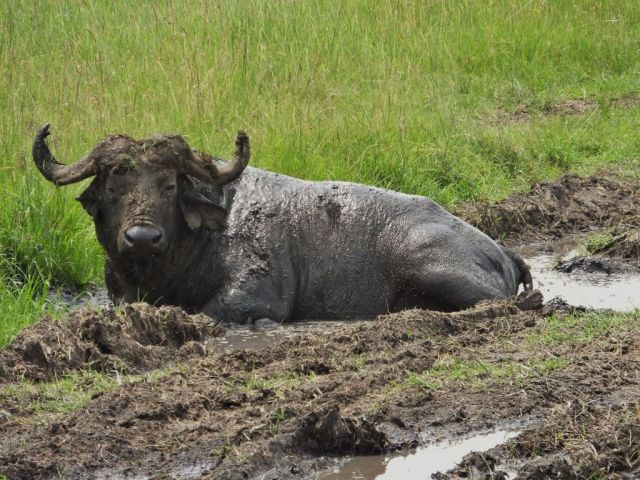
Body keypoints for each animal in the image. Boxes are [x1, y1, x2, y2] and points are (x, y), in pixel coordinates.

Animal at [32, 124, 532, 323]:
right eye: (114, 182)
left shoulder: (257, 296)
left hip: (435, 268)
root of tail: (500, 250)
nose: (141, 236)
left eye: (169, 185)